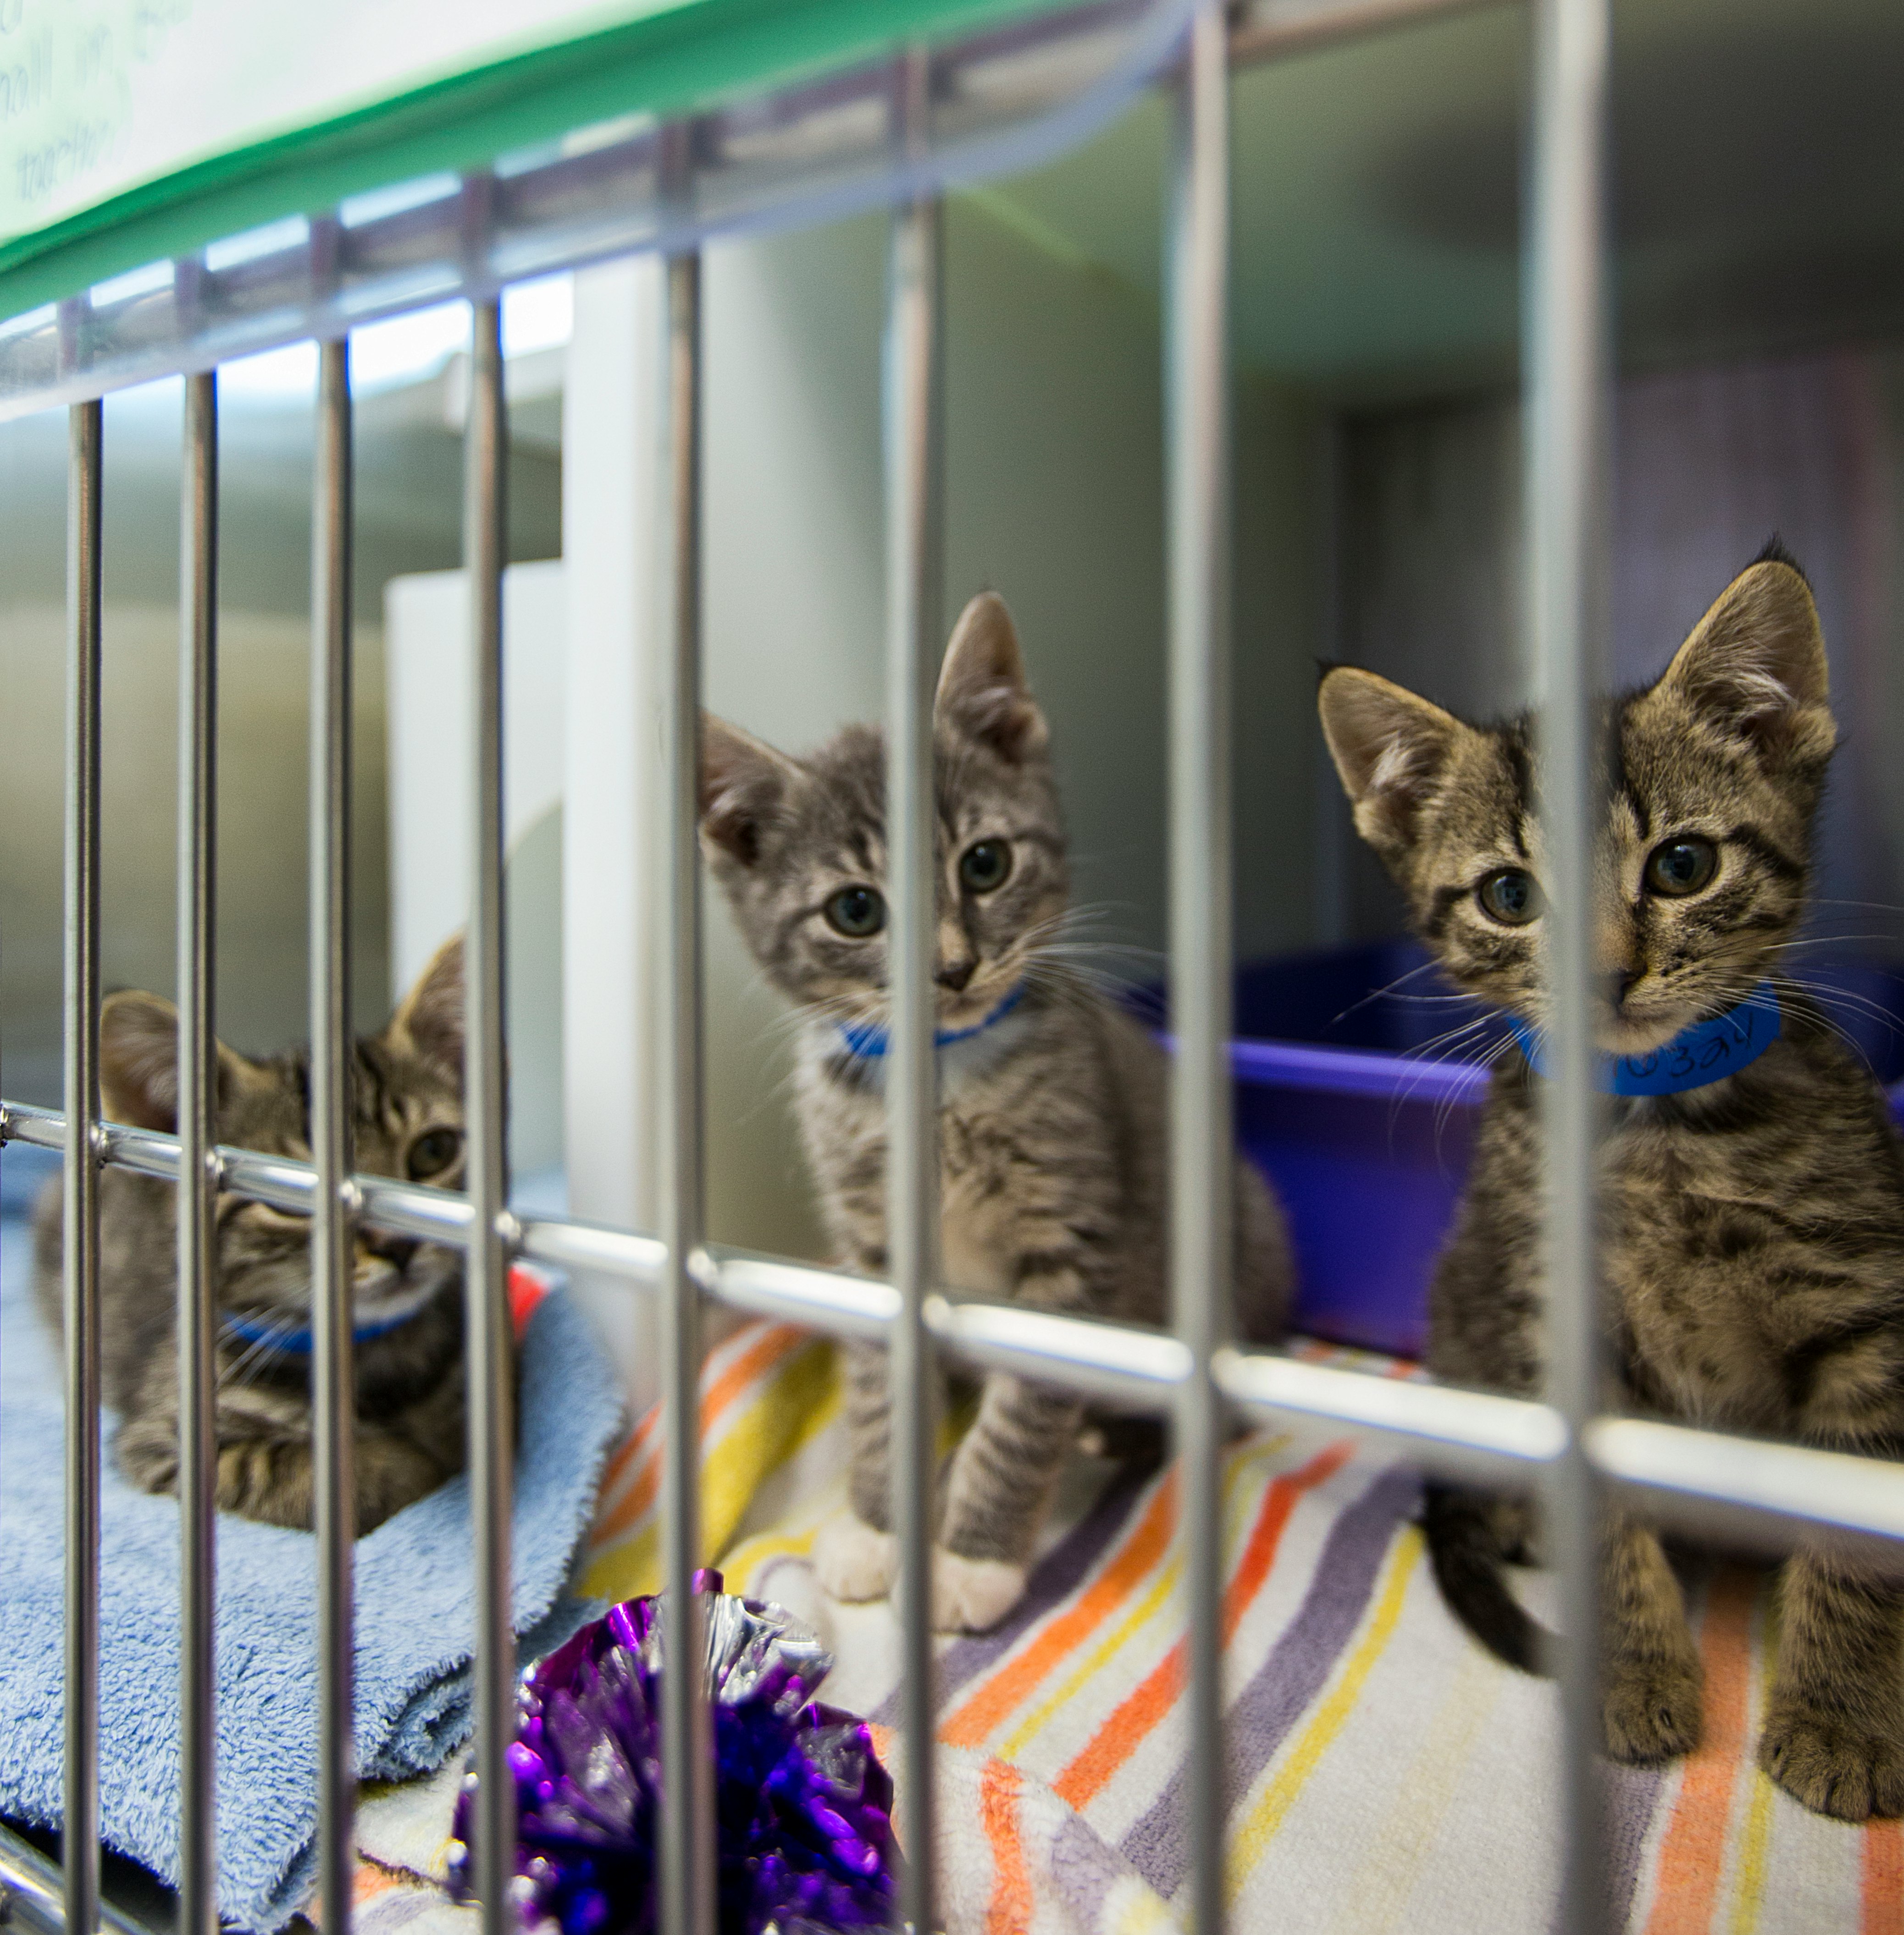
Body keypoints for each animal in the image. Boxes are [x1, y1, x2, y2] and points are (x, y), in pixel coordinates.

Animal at [34, 929, 480, 1532]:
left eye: (434, 1152)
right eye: (290, 1194)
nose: (398, 1243)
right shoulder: (167, 1443)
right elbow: (321, 1473)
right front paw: (410, 1465)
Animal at [700, 588, 1292, 1633]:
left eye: (984, 864)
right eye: (855, 911)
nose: (952, 967)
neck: (939, 1080)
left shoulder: (1073, 1243)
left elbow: (1021, 1419)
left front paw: (973, 1559)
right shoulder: (872, 1252)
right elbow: (878, 1396)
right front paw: (879, 1527)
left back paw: (1116, 1432)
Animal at [1316, 553, 1904, 1819]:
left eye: (1683, 864)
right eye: (1509, 895)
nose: (1603, 975)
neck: (1660, 1132)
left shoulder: (1871, 1316)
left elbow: (1858, 1523)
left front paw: (1840, 1714)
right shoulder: (1555, 1326)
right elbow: (1606, 1523)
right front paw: (1632, 1674)